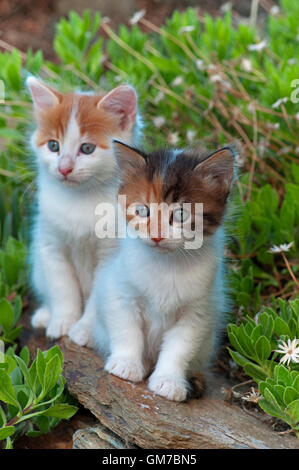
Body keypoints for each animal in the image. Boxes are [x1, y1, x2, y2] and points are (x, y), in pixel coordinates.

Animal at [27, 78, 140, 346]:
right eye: (53, 146)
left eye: (87, 148)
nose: (64, 168)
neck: (79, 199)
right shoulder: (51, 245)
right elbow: (62, 288)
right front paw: (62, 320)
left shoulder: (110, 253)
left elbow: (98, 296)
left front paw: (84, 330)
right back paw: (45, 314)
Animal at [92, 139, 236, 400]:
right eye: (142, 211)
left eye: (180, 214)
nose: (157, 235)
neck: (167, 264)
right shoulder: (120, 291)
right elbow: (127, 330)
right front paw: (126, 365)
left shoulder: (197, 311)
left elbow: (179, 348)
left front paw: (169, 381)